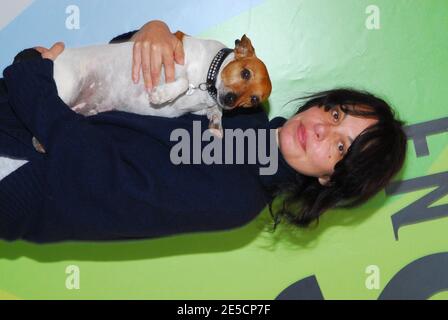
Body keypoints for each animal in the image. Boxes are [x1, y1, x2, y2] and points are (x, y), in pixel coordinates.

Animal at [50, 31, 272, 137]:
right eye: (245, 73)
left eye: (254, 99)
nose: (230, 100)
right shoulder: (170, 62)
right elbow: (184, 81)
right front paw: (162, 95)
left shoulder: (204, 107)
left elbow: (215, 113)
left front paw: (216, 125)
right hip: (66, 86)